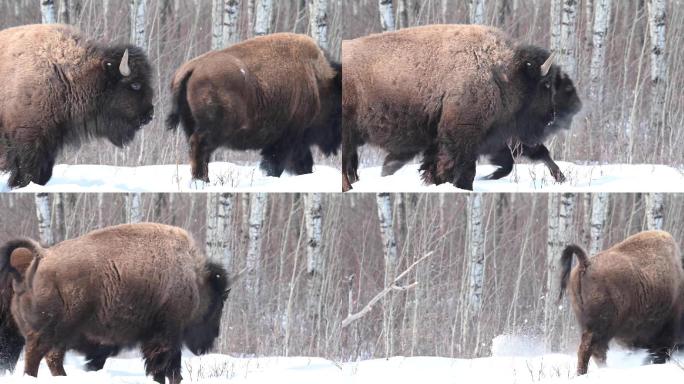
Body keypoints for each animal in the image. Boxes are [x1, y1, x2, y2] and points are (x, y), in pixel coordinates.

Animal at [0, 224, 230, 382]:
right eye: (219, 304)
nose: (212, 339)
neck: (194, 279)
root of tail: (41, 257)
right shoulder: (167, 335)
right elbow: (164, 366)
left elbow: (169, 368)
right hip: (52, 331)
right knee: (37, 355)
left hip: (59, 334)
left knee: (51, 357)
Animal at [167, 32, 340, 182]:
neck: (318, 81)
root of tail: (192, 68)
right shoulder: (290, 137)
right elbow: (276, 164)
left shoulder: (296, 142)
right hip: (215, 129)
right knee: (200, 146)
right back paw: (203, 180)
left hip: (191, 125)